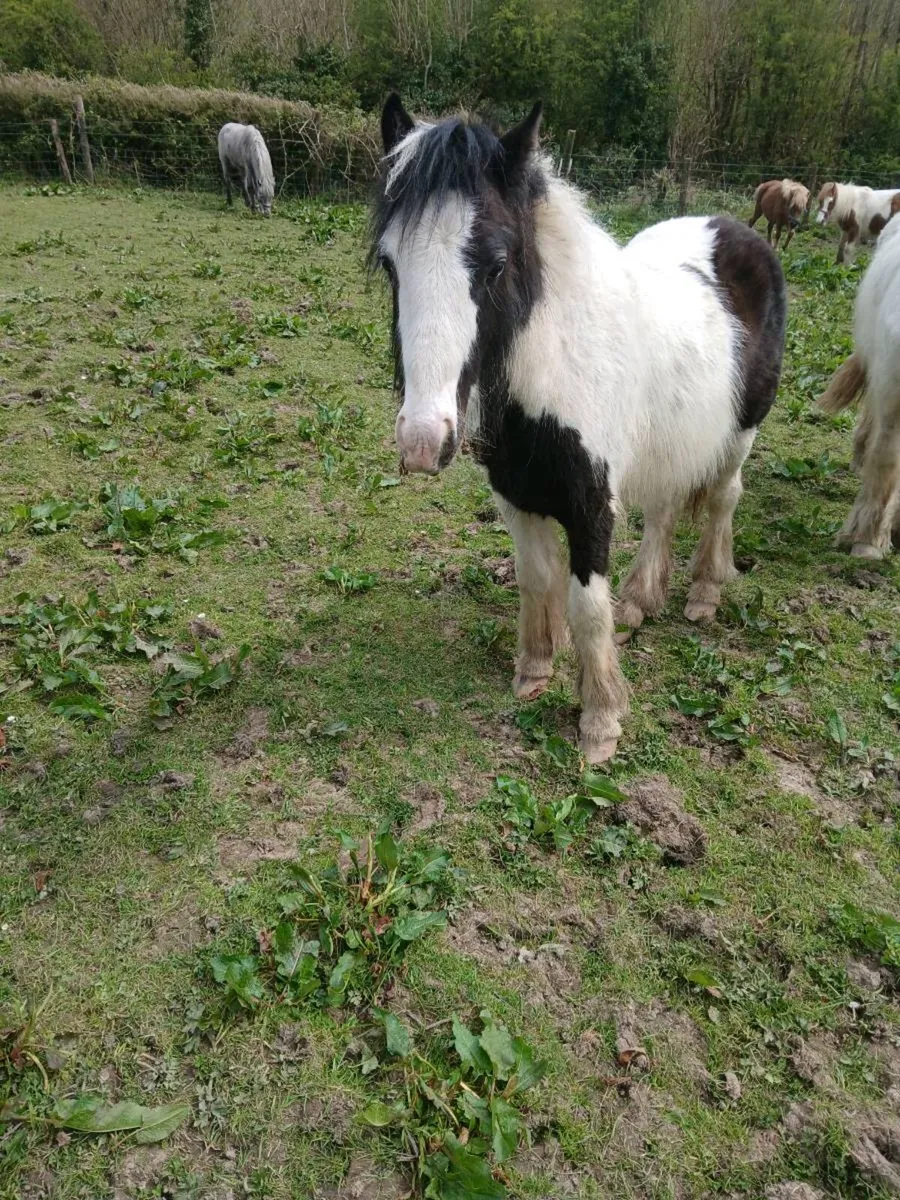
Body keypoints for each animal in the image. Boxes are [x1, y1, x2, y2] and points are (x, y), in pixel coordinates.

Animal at [372, 94, 787, 763]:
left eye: (496, 264)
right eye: (390, 265)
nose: (422, 442)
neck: (555, 370)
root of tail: (737, 229)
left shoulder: (591, 503)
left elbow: (587, 605)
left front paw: (600, 720)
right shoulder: (516, 495)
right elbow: (536, 580)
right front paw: (536, 668)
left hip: (740, 435)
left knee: (723, 498)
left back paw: (702, 594)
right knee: (665, 509)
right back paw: (641, 602)